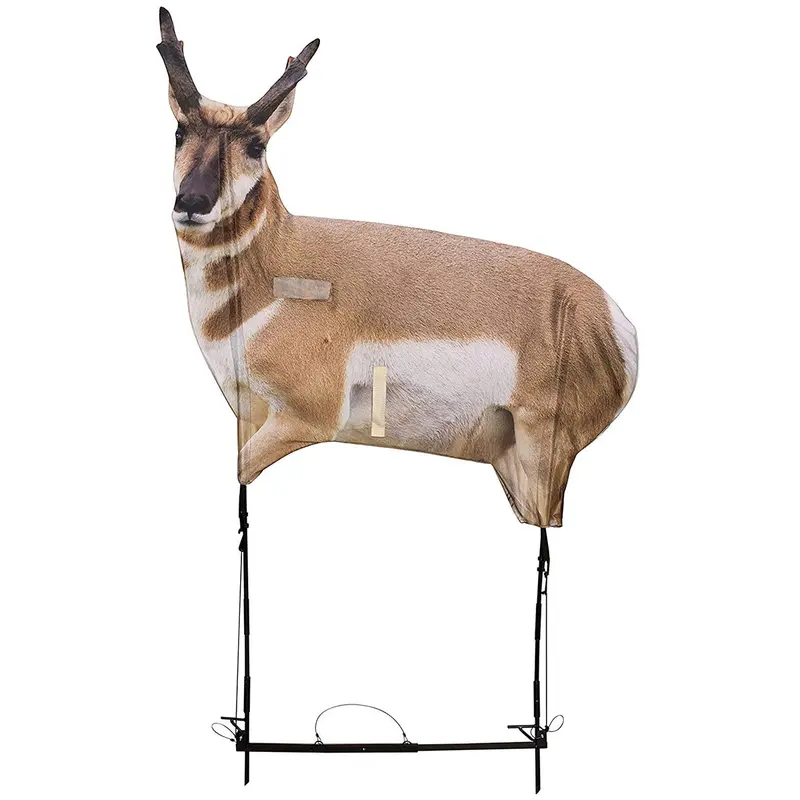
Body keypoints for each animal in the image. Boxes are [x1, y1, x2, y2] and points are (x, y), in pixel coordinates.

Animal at [156, 8, 638, 528]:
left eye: (256, 146)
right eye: (179, 132)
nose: (192, 202)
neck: (279, 265)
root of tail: (610, 317)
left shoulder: (303, 418)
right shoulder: (249, 415)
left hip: (541, 453)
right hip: (510, 461)